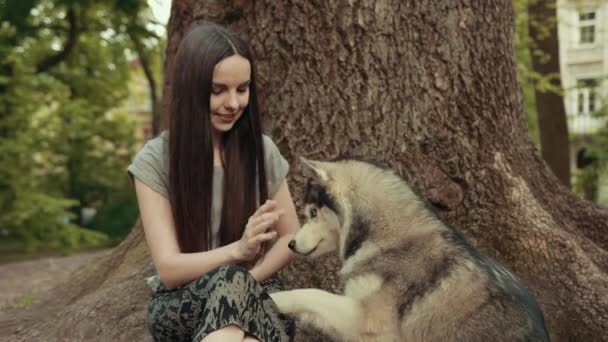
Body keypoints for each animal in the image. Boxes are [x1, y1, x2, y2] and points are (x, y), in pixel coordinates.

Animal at [272, 158, 552, 342]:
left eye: (312, 213)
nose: (290, 244)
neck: (387, 238)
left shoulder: (367, 321)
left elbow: (309, 293)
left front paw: (273, 298)